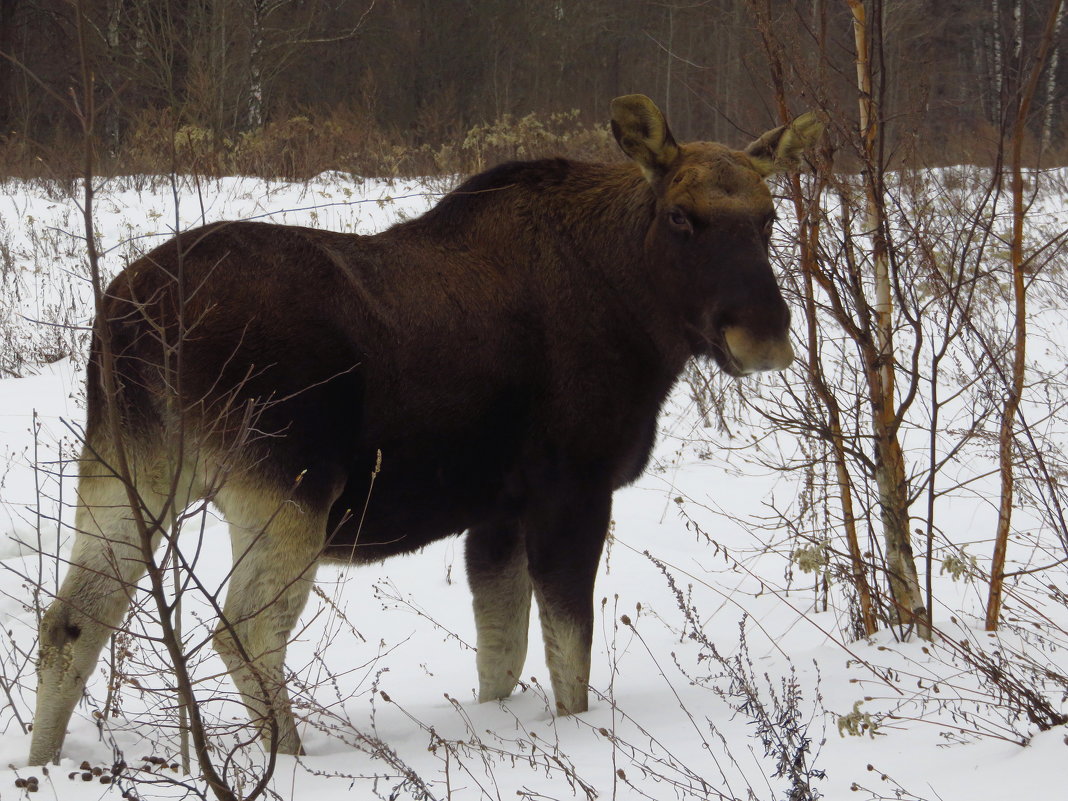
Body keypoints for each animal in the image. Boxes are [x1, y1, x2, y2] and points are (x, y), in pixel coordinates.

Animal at [29, 95, 820, 764]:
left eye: (769, 216)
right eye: (682, 216)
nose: (763, 336)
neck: (644, 323)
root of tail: (128, 324)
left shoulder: (496, 510)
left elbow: (501, 654)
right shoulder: (572, 485)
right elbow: (570, 658)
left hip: (127, 469)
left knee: (70, 621)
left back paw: (41, 760)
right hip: (288, 488)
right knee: (245, 629)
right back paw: (292, 759)